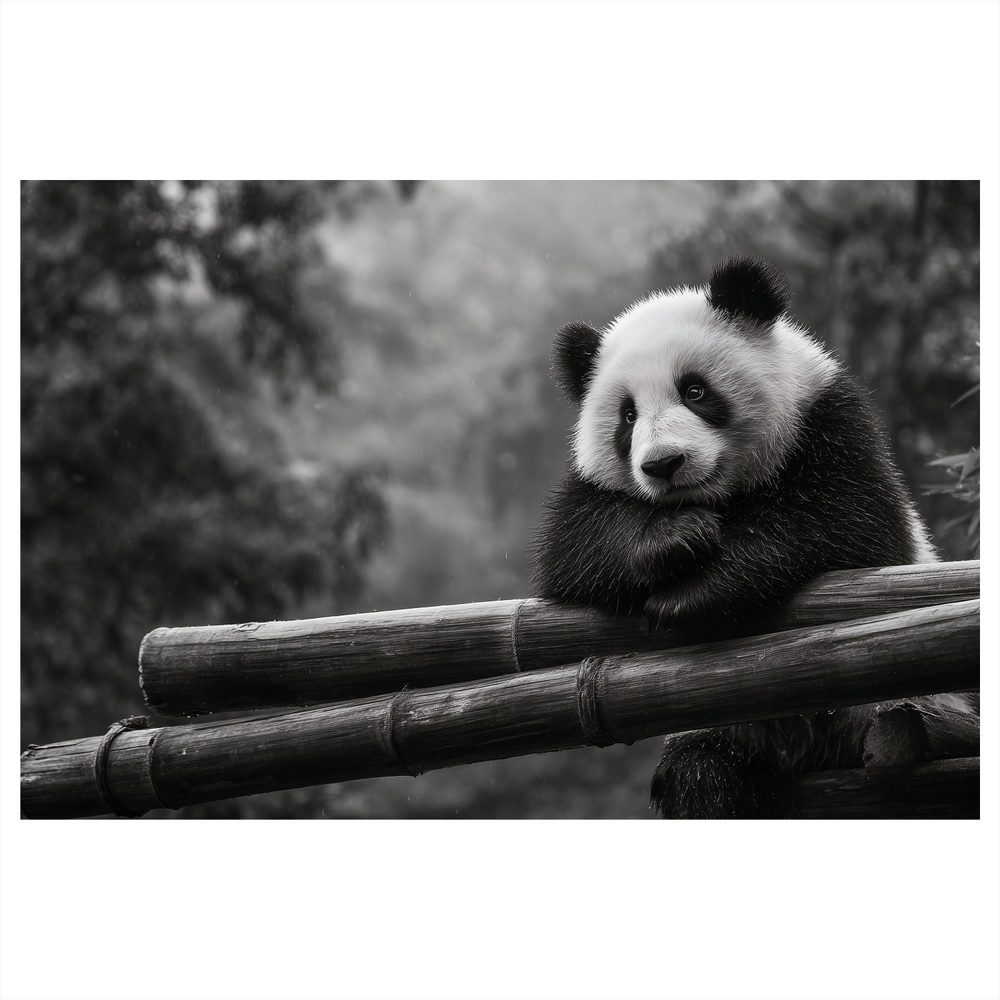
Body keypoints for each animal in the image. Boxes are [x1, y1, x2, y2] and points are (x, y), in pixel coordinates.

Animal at [531, 255, 978, 819]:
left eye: (695, 391)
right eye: (627, 416)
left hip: (914, 713)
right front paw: (676, 537)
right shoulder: (587, 490)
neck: (722, 496)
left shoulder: (828, 424)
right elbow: (570, 550)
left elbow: (840, 523)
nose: (663, 465)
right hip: (731, 734)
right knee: (703, 776)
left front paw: (691, 595)